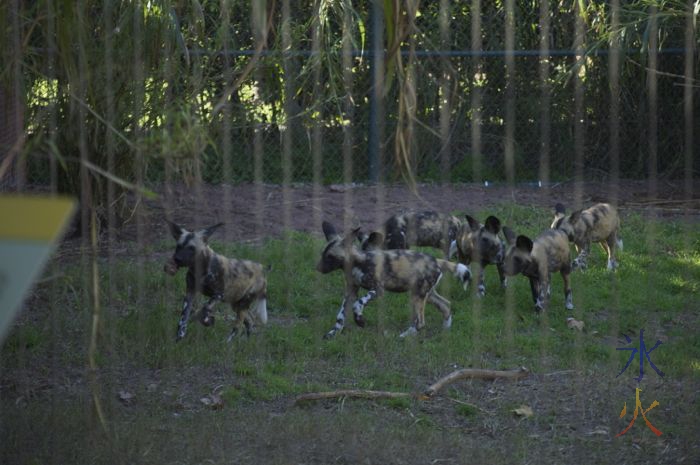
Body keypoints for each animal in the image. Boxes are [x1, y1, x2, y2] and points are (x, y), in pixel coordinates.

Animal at [318, 221, 470, 338]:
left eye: (330, 257)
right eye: (323, 254)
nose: (317, 268)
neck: (358, 263)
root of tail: (436, 260)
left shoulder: (377, 290)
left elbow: (358, 303)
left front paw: (359, 320)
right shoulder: (350, 292)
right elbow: (340, 316)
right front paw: (332, 334)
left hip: (417, 295)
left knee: (421, 322)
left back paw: (404, 336)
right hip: (427, 294)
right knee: (446, 305)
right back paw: (445, 331)